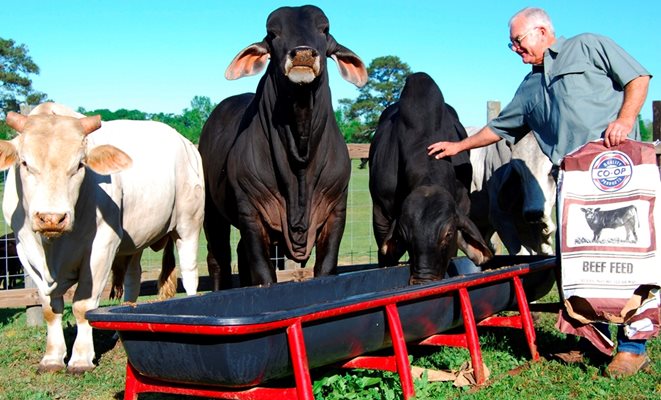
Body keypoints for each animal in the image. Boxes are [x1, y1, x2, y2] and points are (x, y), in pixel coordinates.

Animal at [0, 102, 204, 372]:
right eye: (24, 163)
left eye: (79, 165)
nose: (52, 218)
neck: (52, 249)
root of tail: (185, 142)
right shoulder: (25, 250)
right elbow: (49, 308)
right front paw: (52, 358)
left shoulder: (101, 247)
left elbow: (82, 306)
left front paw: (80, 359)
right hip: (134, 240)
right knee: (133, 279)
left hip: (188, 224)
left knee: (190, 274)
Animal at [199, 4, 368, 290]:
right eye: (273, 33)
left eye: (324, 29)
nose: (302, 54)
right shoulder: (251, 212)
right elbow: (264, 274)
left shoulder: (336, 211)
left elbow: (325, 267)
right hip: (211, 211)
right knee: (218, 258)